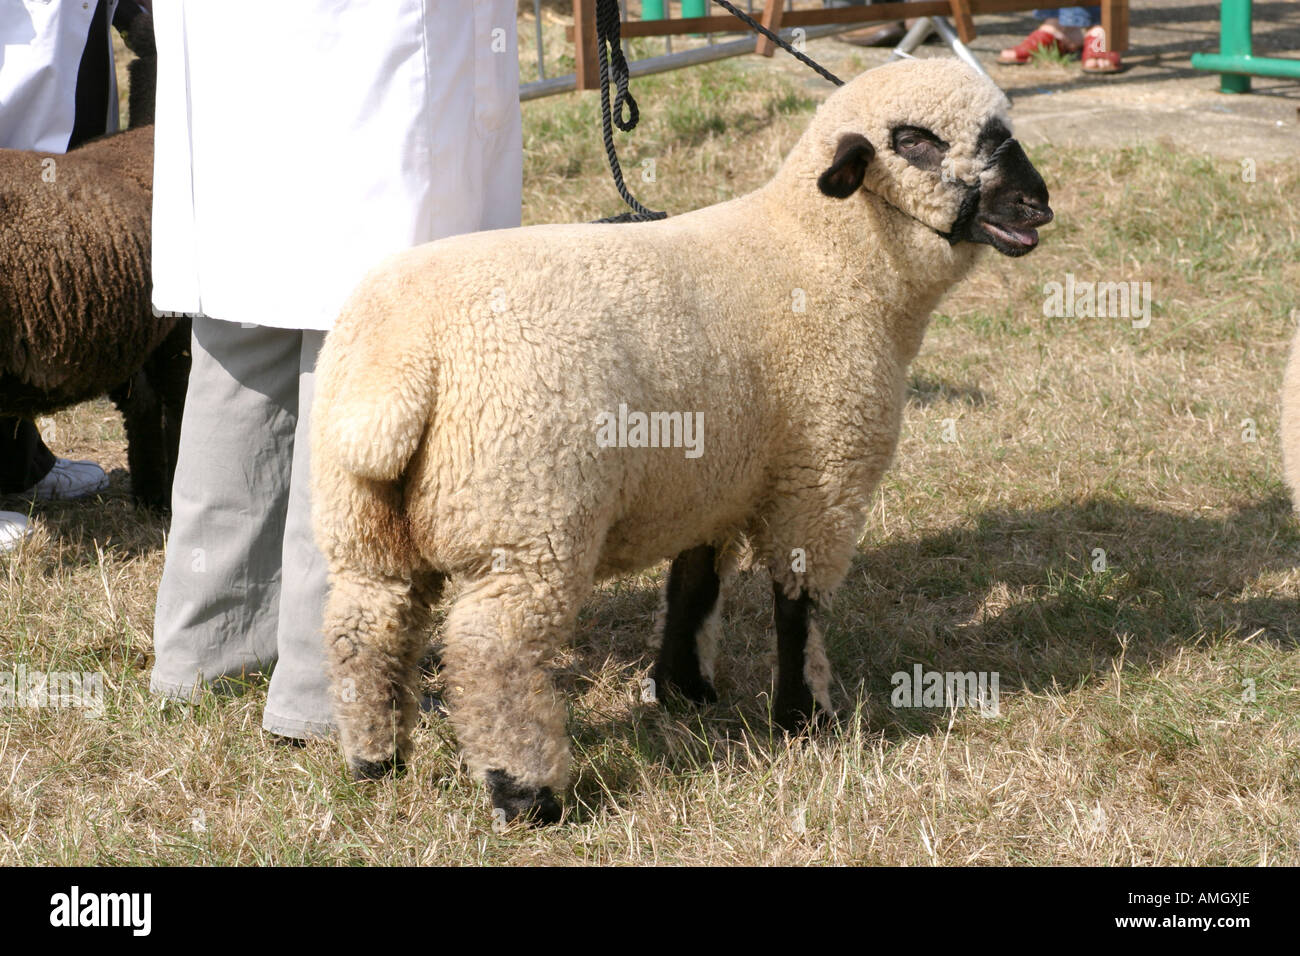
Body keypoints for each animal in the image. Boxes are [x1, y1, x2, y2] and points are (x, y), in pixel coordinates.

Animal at [309, 57, 1050, 822]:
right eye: (916, 141)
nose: (1036, 206)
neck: (823, 256)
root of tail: (401, 363)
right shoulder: (821, 476)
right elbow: (798, 602)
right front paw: (805, 716)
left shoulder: (713, 473)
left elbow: (695, 583)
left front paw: (684, 690)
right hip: (528, 517)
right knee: (492, 650)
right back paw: (528, 794)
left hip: (364, 521)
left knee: (364, 627)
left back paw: (377, 761)